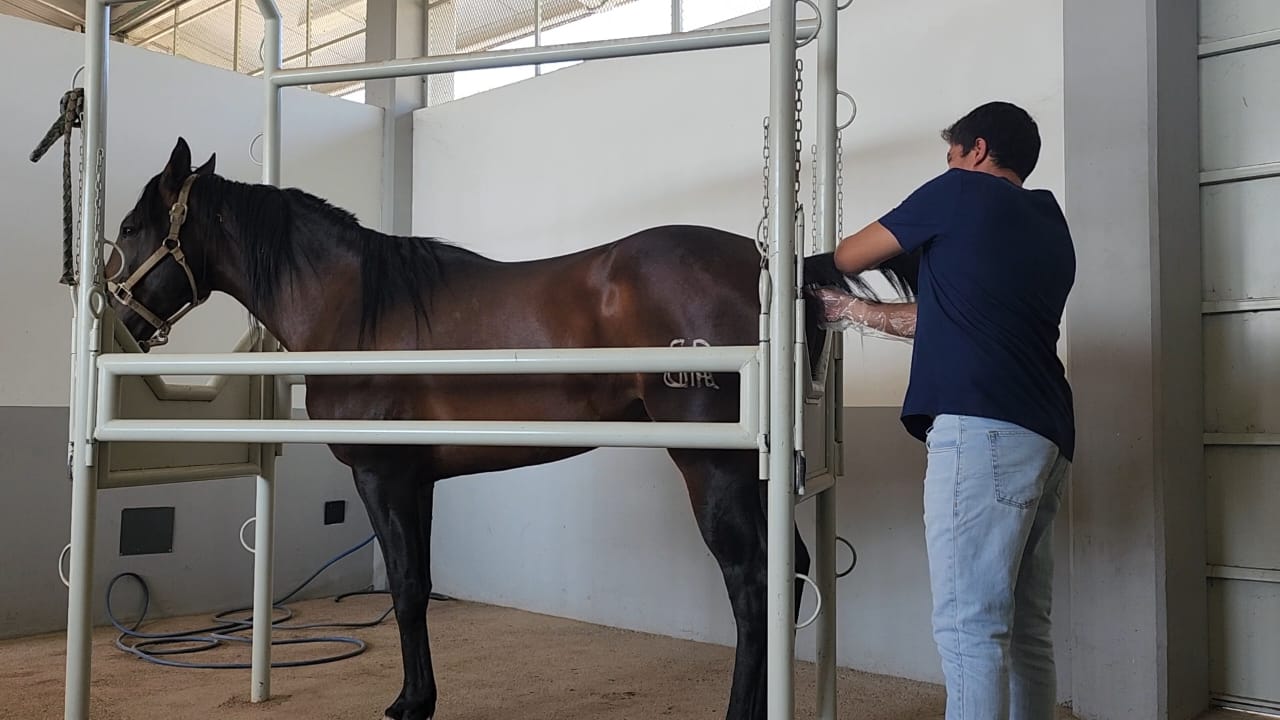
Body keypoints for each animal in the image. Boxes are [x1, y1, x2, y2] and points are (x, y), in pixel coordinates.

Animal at [104, 137, 916, 720]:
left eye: (131, 227)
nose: (119, 316)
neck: (356, 307)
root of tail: (780, 266)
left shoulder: (380, 475)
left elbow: (405, 588)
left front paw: (408, 705)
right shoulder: (417, 479)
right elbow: (418, 586)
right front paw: (420, 698)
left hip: (712, 466)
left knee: (751, 585)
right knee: (789, 570)